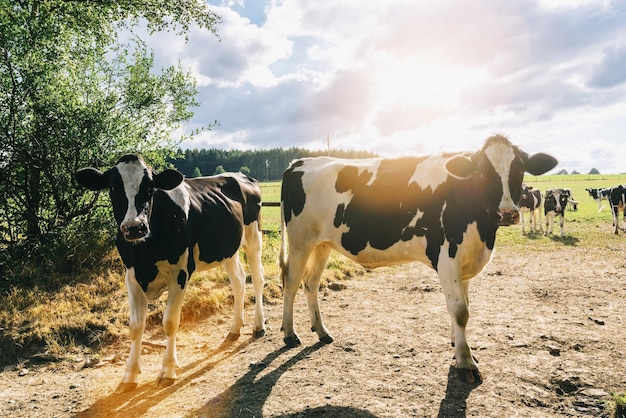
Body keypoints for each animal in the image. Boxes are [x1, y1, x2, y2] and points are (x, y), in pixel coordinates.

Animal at [75, 154, 266, 392]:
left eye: (150, 188)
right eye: (112, 188)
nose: (134, 227)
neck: (145, 253)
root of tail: (241, 175)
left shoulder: (180, 274)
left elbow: (170, 322)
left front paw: (167, 371)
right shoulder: (131, 277)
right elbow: (136, 327)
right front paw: (130, 375)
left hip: (253, 237)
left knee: (257, 279)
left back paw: (259, 325)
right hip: (227, 248)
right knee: (238, 281)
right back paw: (235, 329)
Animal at [278, 135, 556, 382]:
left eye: (519, 170)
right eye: (483, 173)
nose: (507, 213)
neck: (483, 230)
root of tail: (300, 162)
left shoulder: (466, 260)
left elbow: (464, 306)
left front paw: (457, 345)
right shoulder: (448, 257)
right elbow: (460, 311)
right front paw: (466, 363)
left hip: (322, 244)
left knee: (311, 283)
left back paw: (321, 331)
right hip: (300, 240)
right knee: (291, 282)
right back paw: (290, 334)